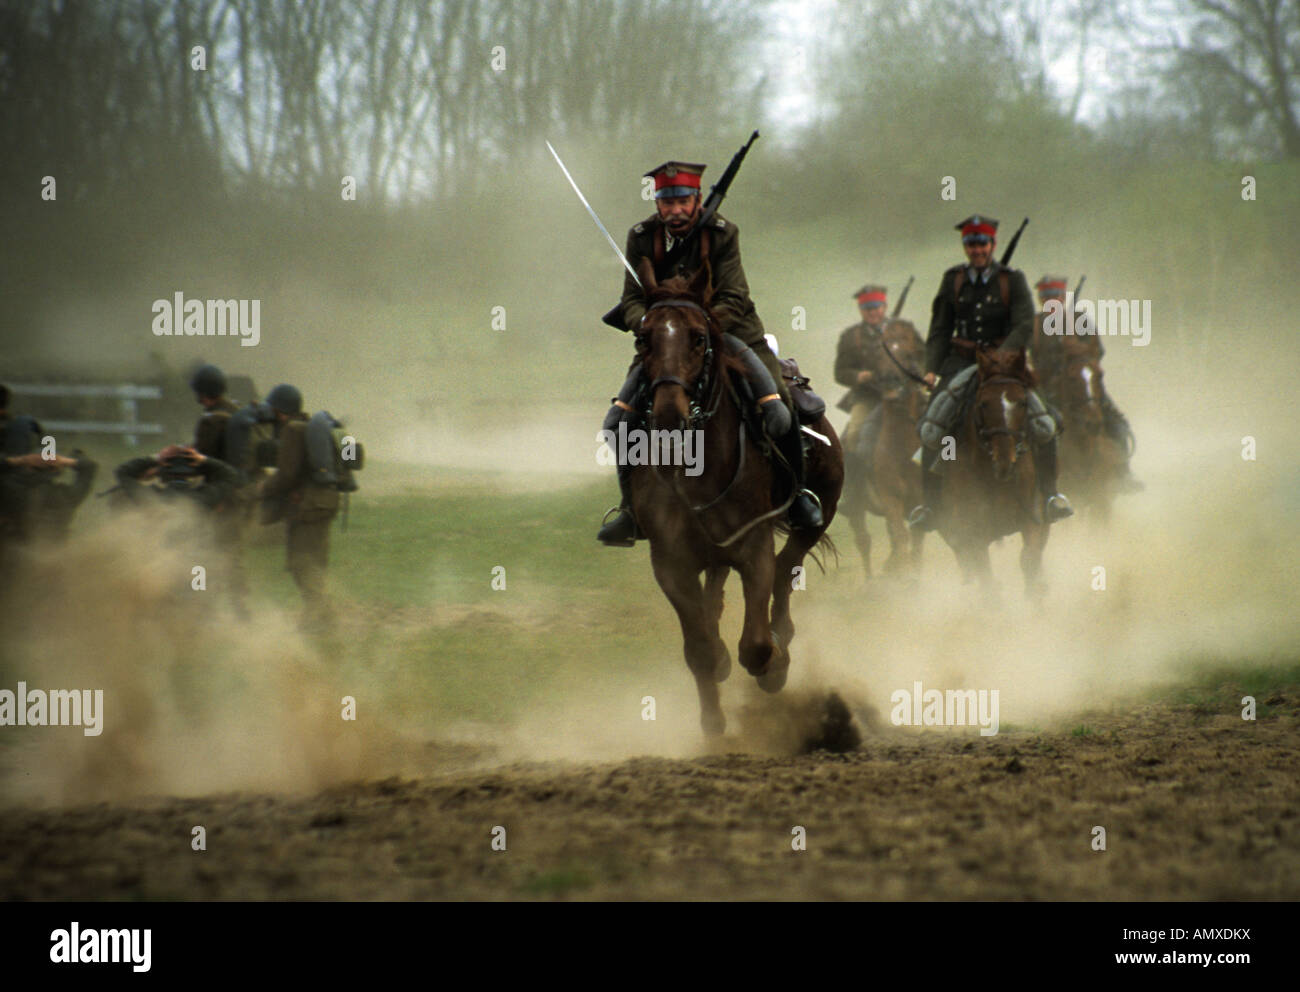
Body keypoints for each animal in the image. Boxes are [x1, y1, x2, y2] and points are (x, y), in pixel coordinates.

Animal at [626, 263, 842, 738]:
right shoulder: (670, 564)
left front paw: (776, 665)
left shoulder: (753, 546)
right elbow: (701, 650)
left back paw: (783, 636)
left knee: (786, 567)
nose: (668, 416)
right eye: (642, 338)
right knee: (717, 590)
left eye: (697, 337)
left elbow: (757, 644)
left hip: (821, 513)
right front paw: (713, 718)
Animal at [842, 322, 925, 577]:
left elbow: (914, 540)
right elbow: (901, 535)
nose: (890, 381)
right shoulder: (891, 499)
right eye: (877, 353)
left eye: (907, 353)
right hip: (856, 508)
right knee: (864, 540)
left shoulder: (920, 501)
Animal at [930, 348, 1050, 598]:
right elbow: (986, 578)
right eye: (984, 404)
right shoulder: (972, 532)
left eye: (1023, 402)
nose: (1005, 462)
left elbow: (1029, 559)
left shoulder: (1035, 518)